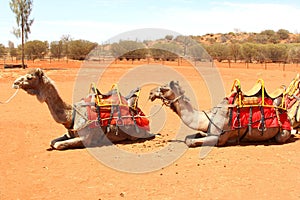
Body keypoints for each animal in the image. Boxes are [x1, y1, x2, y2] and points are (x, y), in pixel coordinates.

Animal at [12, 68, 155, 149]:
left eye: (29, 77)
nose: (15, 83)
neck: (71, 115)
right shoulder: (70, 133)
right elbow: (53, 142)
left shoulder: (85, 138)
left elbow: (58, 145)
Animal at [149, 79, 292, 147]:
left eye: (164, 88)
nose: (150, 93)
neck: (208, 117)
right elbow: (189, 137)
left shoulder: (219, 137)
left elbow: (190, 141)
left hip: (284, 131)